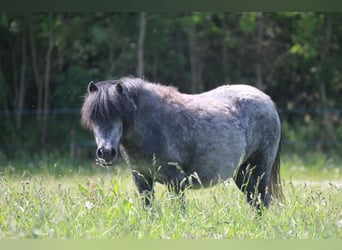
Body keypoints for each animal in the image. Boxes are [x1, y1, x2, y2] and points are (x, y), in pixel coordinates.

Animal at [81, 76, 284, 211]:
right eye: (94, 118)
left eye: (118, 115)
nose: (106, 152)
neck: (153, 126)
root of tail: (267, 100)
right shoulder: (142, 179)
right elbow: (149, 209)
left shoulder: (176, 181)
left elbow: (179, 210)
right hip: (242, 173)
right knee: (254, 200)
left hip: (259, 169)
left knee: (261, 200)